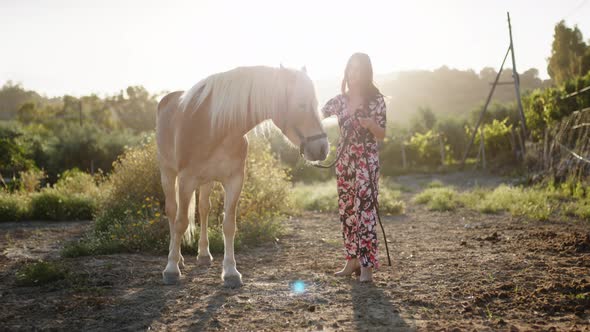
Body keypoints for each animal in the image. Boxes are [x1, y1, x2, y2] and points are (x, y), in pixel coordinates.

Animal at [155, 65, 330, 288]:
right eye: (301, 104)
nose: (323, 148)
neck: (214, 127)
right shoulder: (186, 180)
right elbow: (181, 222)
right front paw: (171, 269)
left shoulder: (235, 181)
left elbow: (229, 225)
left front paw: (231, 272)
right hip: (168, 173)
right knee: (172, 211)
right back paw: (177, 257)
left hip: (207, 181)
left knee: (203, 210)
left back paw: (203, 255)